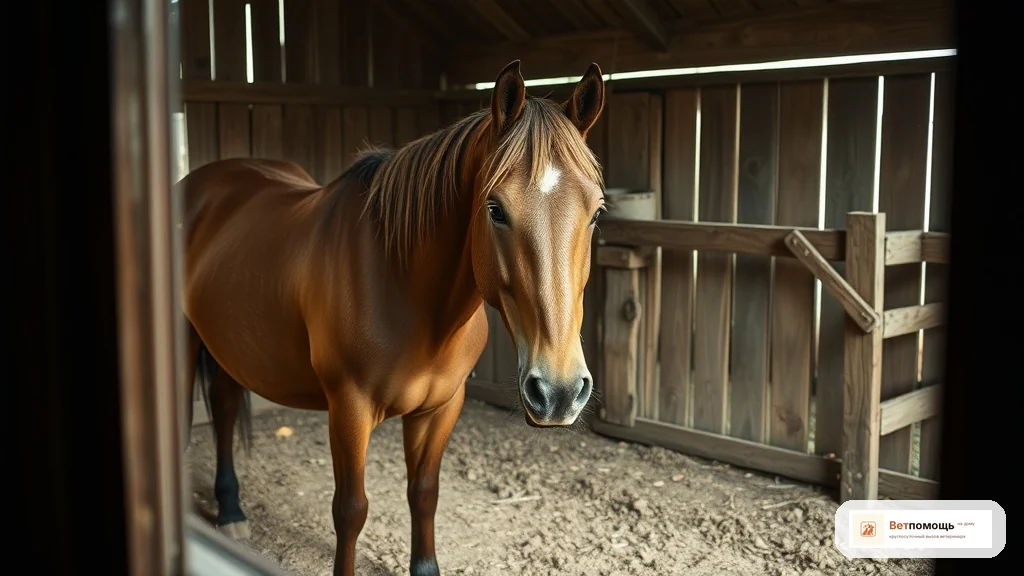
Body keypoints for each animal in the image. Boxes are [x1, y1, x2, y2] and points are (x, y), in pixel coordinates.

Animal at [180, 59, 607, 576]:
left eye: (596, 212)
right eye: (495, 208)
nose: (559, 392)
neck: (407, 291)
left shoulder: (440, 409)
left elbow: (424, 494)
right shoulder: (349, 409)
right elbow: (350, 509)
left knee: (223, 408)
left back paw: (231, 510)